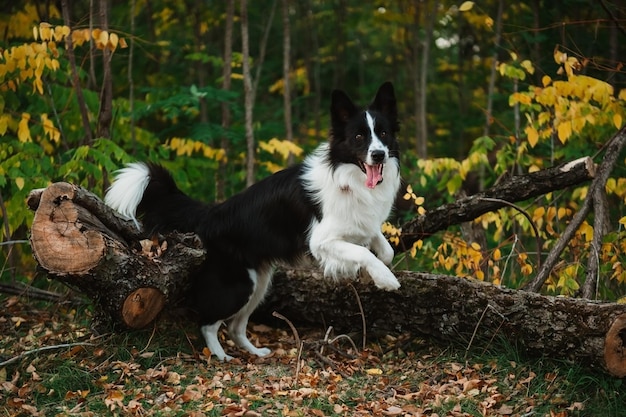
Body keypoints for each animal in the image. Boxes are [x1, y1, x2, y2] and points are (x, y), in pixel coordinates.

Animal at [104, 82, 400, 360]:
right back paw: (221, 356)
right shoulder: (321, 240)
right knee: (208, 323)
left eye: (383, 134)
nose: (379, 155)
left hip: (259, 282)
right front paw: (385, 278)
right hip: (238, 284)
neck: (349, 177)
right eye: (359, 136)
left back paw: (255, 352)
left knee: (236, 327)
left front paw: (371, 270)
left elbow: (383, 248)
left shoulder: (361, 224)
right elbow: (363, 252)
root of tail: (210, 213)